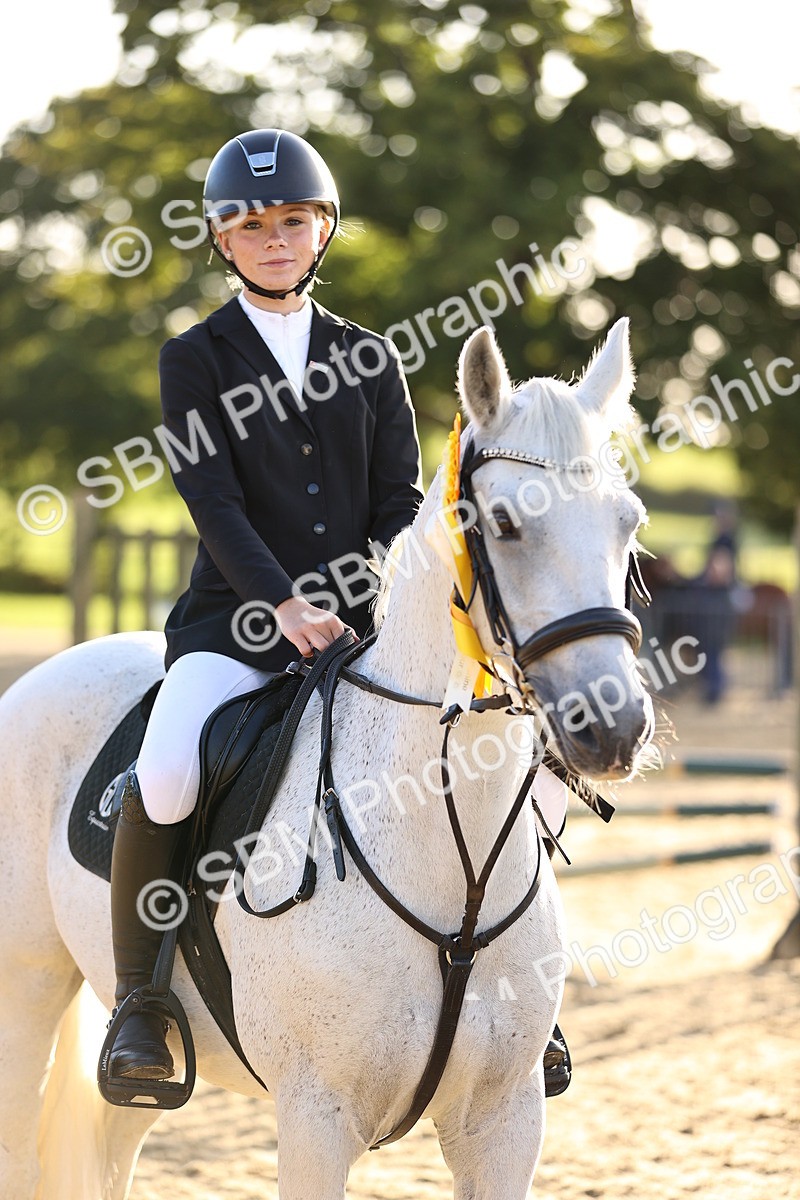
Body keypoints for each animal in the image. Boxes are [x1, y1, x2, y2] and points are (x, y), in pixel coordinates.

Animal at [0, 318, 654, 1199]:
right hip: (25, 990)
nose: (613, 726)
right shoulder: (316, 1118)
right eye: (506, 523)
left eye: (629, 520)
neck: (451, 862)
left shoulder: (505, 1120)